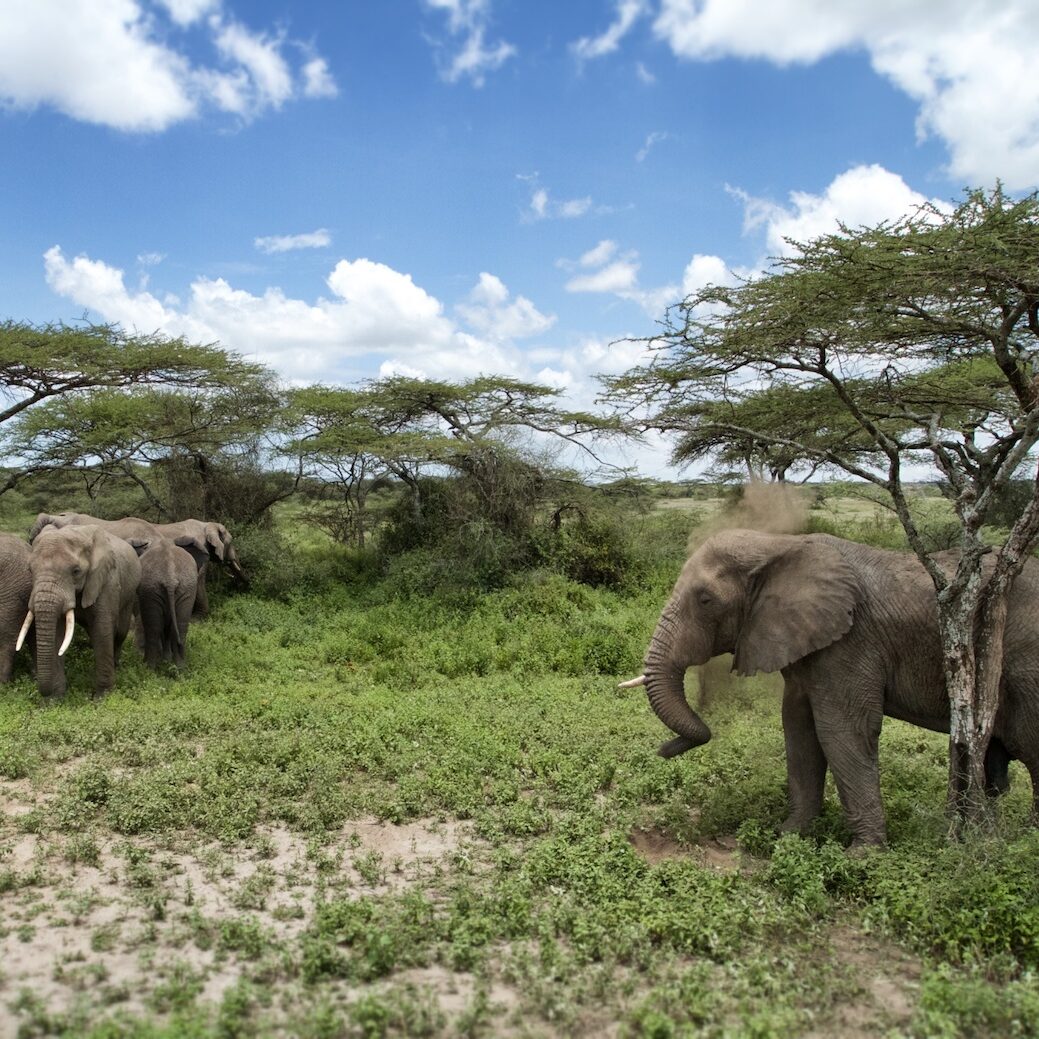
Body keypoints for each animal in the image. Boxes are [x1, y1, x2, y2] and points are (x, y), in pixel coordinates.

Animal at [20, 527, 142, 698]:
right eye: (30, 570)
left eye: (76, 571)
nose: (44, 693)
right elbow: (58, 634)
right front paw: (55, 700)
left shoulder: (106, 581)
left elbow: (102, 630)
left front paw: (102, 697)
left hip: (130, 593)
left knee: (120, 632)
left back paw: (116, 666)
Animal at [126, 536, 197, 673]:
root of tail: (170, 577)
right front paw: (166, 660)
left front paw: (164, 660)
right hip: (185, 588)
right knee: (180, 627)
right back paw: (180, 669)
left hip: (152, 588)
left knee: (153, 628)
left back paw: (149, 669)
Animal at [619, 531, 1039, 847]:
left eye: (705, 600)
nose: (662, 750)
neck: (780, 545)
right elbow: (799, 729)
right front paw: (789, 836)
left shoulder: (851, 641)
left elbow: (842, 732)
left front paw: (862, 855)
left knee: (1031, 747)